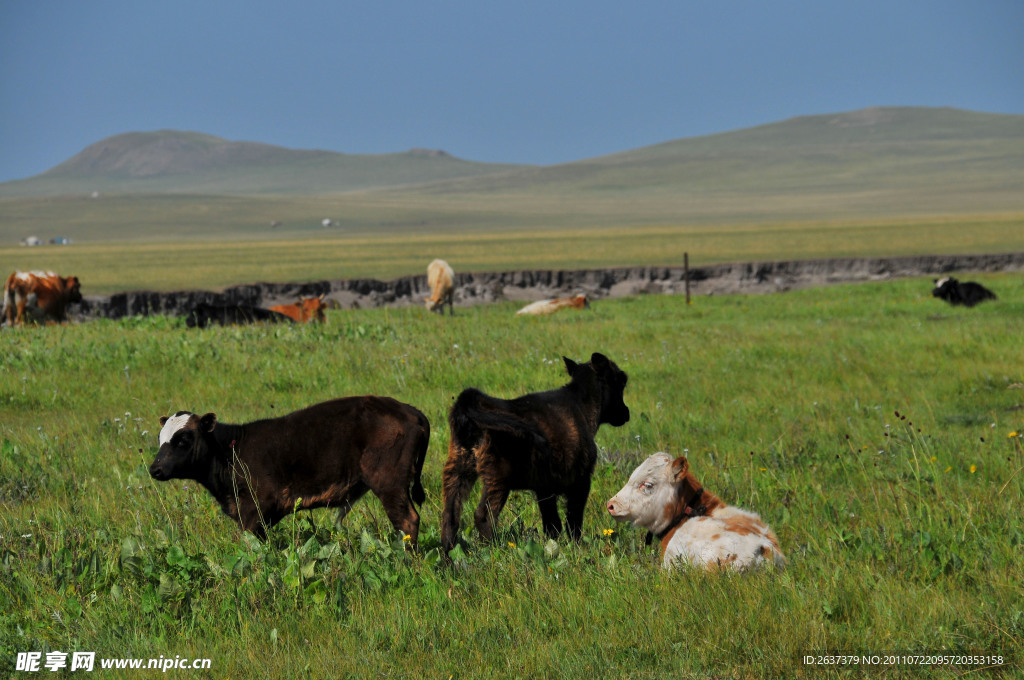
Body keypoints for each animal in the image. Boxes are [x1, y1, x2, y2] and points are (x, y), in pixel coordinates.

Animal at [148, 395, 428, 544]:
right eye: (160, 438)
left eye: (183, 439)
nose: (155, 468)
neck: (230, 451)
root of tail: (409, 410)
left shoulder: (254, 513)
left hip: (388, 483)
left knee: (407, 520)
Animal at [442, 352, 626, 557]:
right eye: (621, 380)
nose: (626, 414)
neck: (581, 407)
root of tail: (470, 403)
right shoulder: (581, 481)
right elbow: (573, 520)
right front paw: (576, 547)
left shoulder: (545, 487)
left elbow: (552, 523)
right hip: (497, 477)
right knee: (483, 516)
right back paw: (492, 550)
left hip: (457, 471)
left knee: (450, 516)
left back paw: (448, 556)